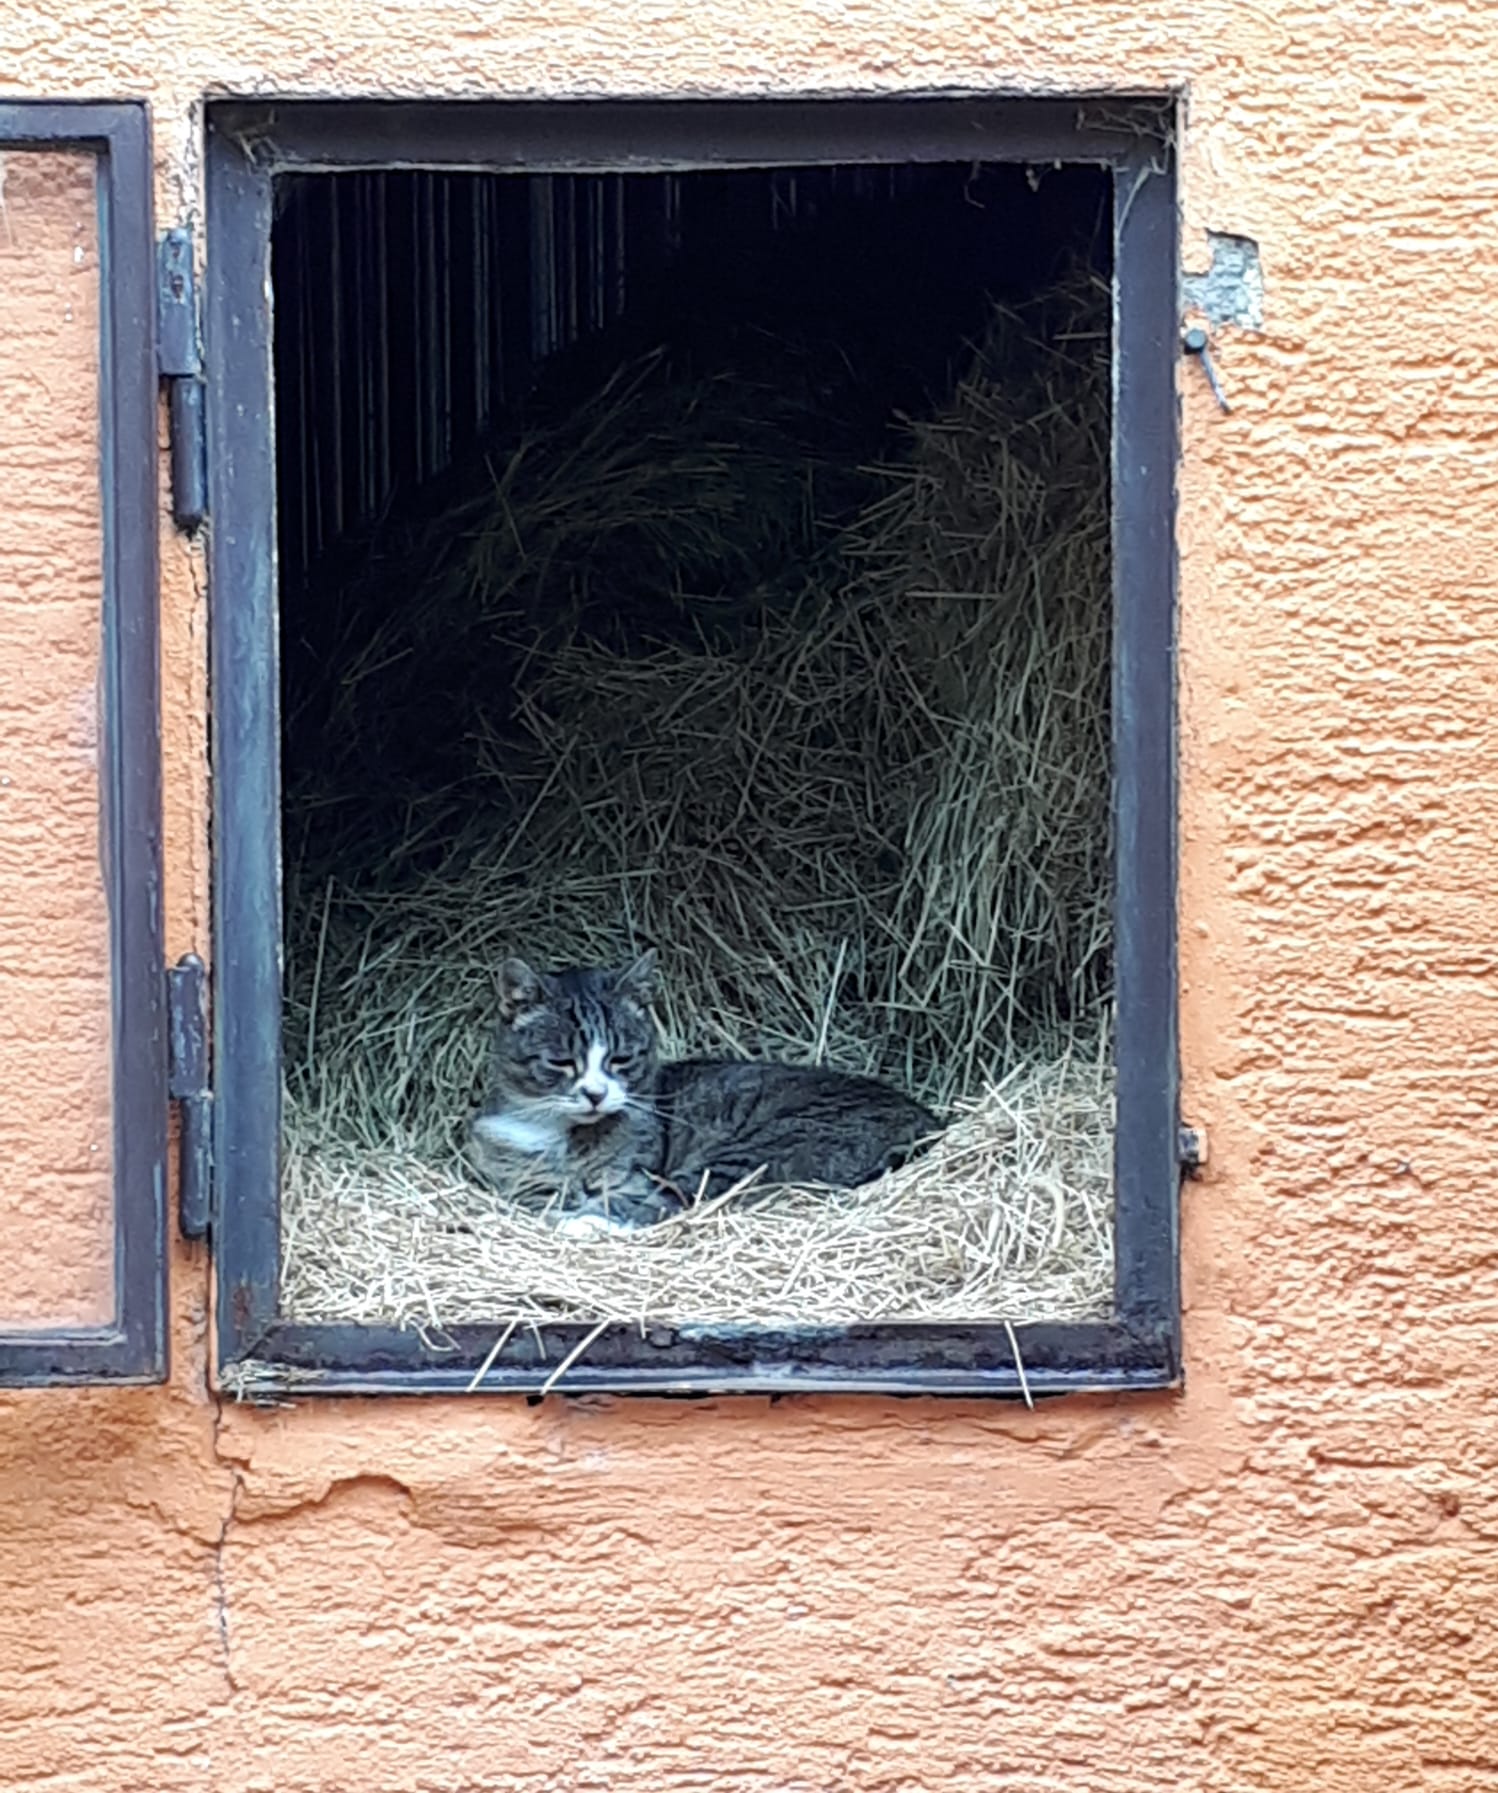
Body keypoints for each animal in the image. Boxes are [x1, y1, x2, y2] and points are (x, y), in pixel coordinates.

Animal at [470, 953, 940, 1233]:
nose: (596, 1095)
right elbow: (535, 1190)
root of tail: (929, 1127)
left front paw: (580, 1214)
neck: (561, 1132)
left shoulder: (637, 1175)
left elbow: (624, 1196)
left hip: (757, 1148)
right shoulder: (516, 1172)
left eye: (621, 1059)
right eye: (562, 1061)